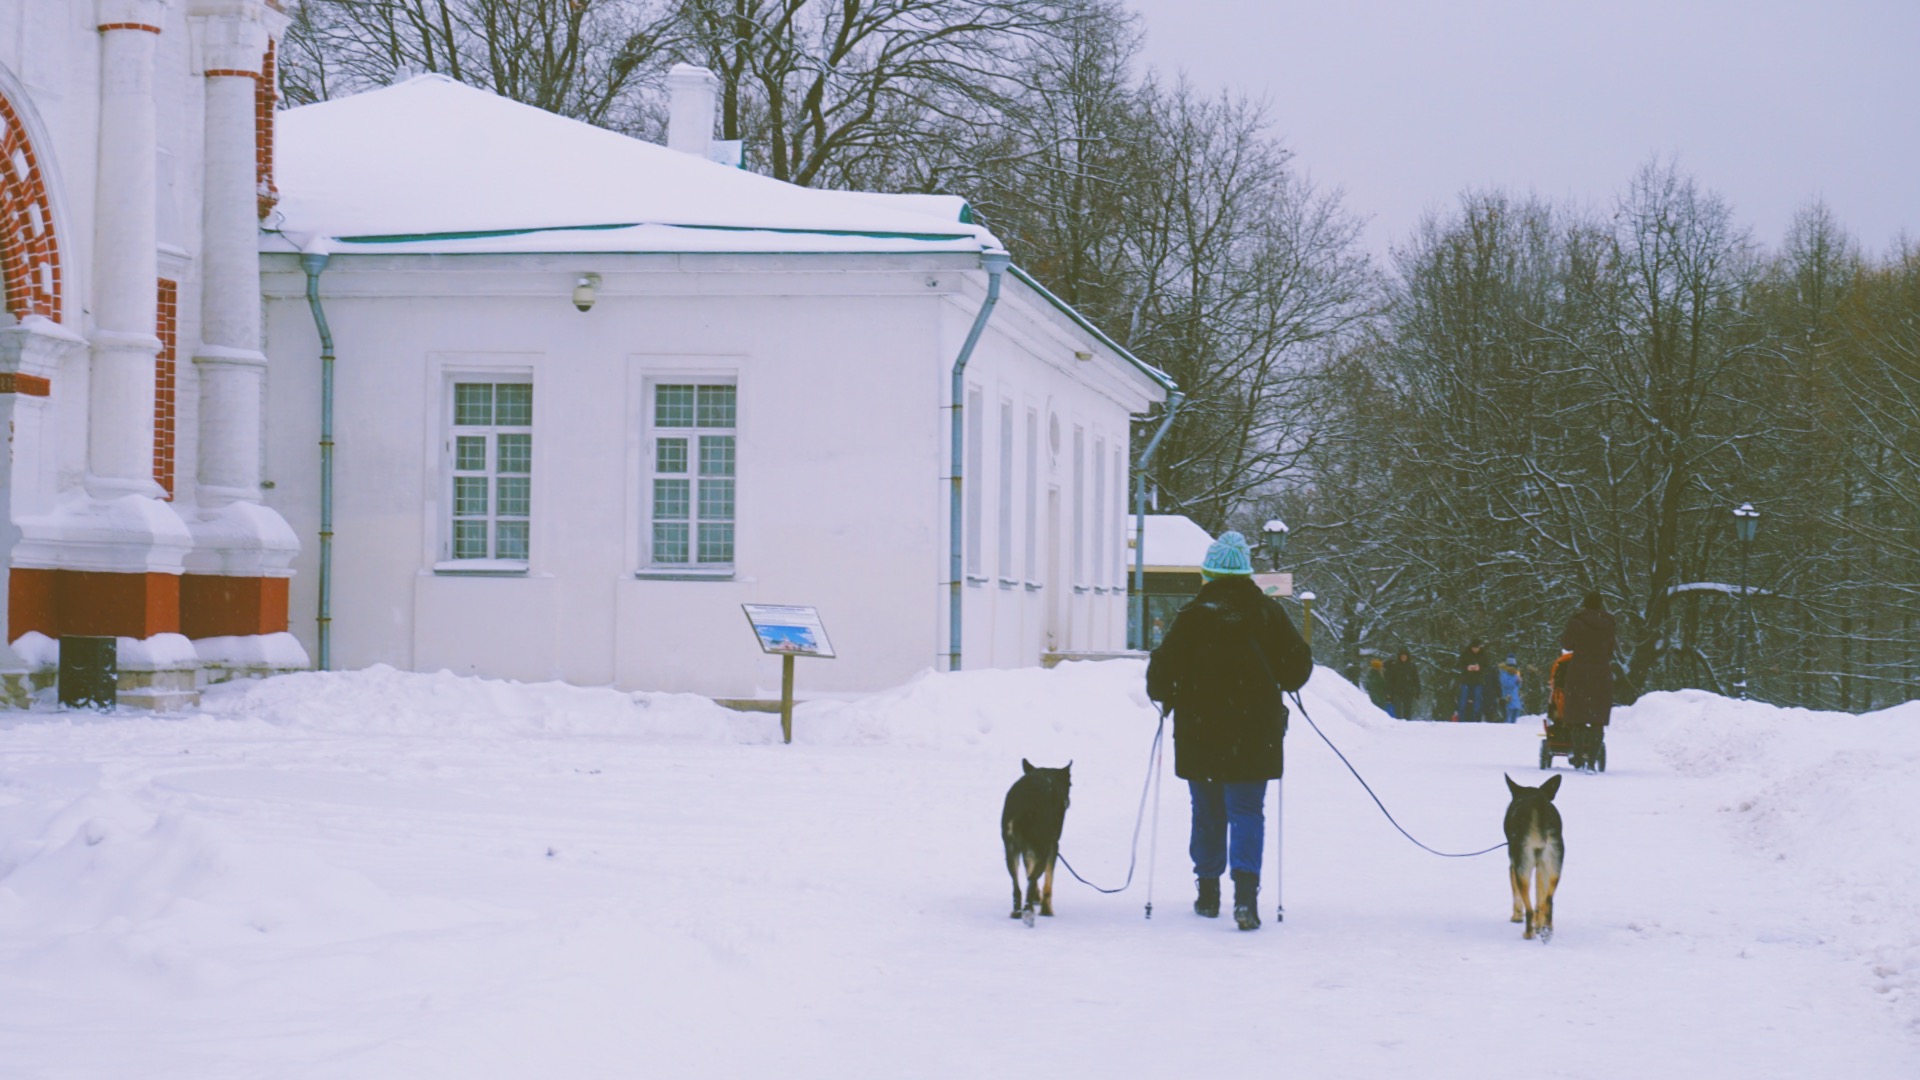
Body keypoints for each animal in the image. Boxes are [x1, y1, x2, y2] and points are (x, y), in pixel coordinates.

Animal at [998, 757, 1075, 926]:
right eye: (1070, 785)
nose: (1068, 802)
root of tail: (1023, 809)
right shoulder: (1053, 846)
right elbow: (1047, 882)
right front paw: (1046, 910)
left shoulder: (1027, 850)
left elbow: (1029, 871)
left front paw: (1036, 898)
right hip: (1043, 848)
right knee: (1033, 879)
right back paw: (1028, 911)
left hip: (1011, 850)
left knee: (1018, 887)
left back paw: (1017, 912)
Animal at [1505, 768, 1566, 937]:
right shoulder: (1540, 866)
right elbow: (1540, 897)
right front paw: (1539, 925)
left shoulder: (1513, 866)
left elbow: (1516, 896)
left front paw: (1516, 916)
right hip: (1554, 866)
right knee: (1548, 901)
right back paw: (1546, 929)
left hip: (1523, 867)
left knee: (1530, 909)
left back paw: (1528, 933)